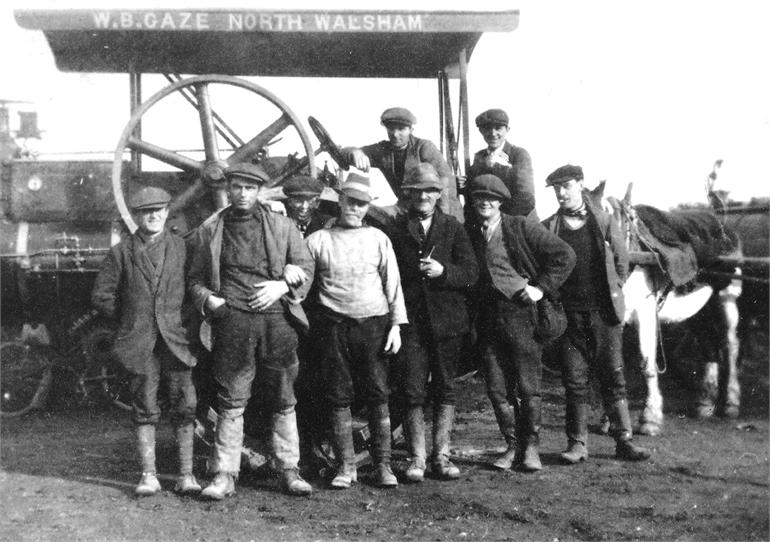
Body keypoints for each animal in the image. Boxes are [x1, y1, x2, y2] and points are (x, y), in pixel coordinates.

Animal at [584, 183, 740, 438]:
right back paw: (704, 402)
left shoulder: (645, 313)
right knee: (707, 344)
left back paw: (730, 403)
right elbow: (612, 365)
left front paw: (650, 418)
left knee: (730, 345)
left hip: (726, 298)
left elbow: (646, 363)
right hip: (699, 309)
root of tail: (721, 221)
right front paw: (609, 420)